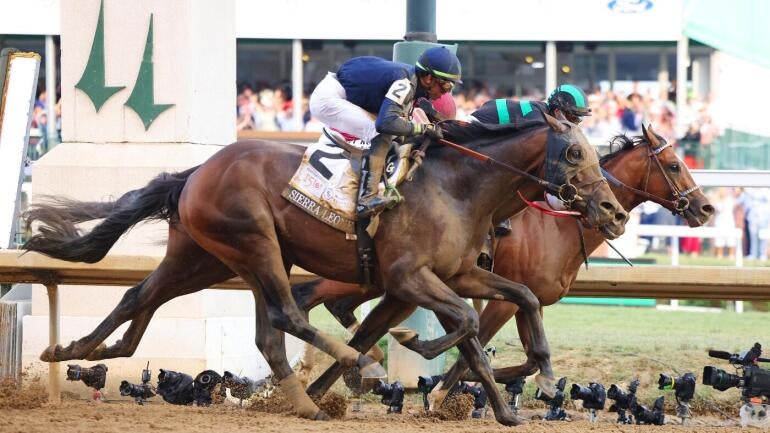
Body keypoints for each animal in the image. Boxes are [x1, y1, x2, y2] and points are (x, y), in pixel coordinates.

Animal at [23, 111, 627, 425]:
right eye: (575, 153)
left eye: (595, 151)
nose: (613, 210)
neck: (458, 189)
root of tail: (197, 170)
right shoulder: (408, 278)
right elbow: (469, 323)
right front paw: (417, 351)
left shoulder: (459, 274)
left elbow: (516, 302)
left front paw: (525, 389)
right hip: (253, 242)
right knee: (286, 316)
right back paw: (347, 364)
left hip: (204, 256)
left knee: (148, 299)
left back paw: (74, 349)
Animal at [290, 125, 713, 407]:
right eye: (674, 165)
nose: (706, 208)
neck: (561, 224)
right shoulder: (504, 301)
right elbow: (482, 349)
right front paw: (442, 392)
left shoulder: (528, 301)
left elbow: (528, 358)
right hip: (371, 276)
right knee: (312, 296)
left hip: (387, 284)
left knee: (341, 313)